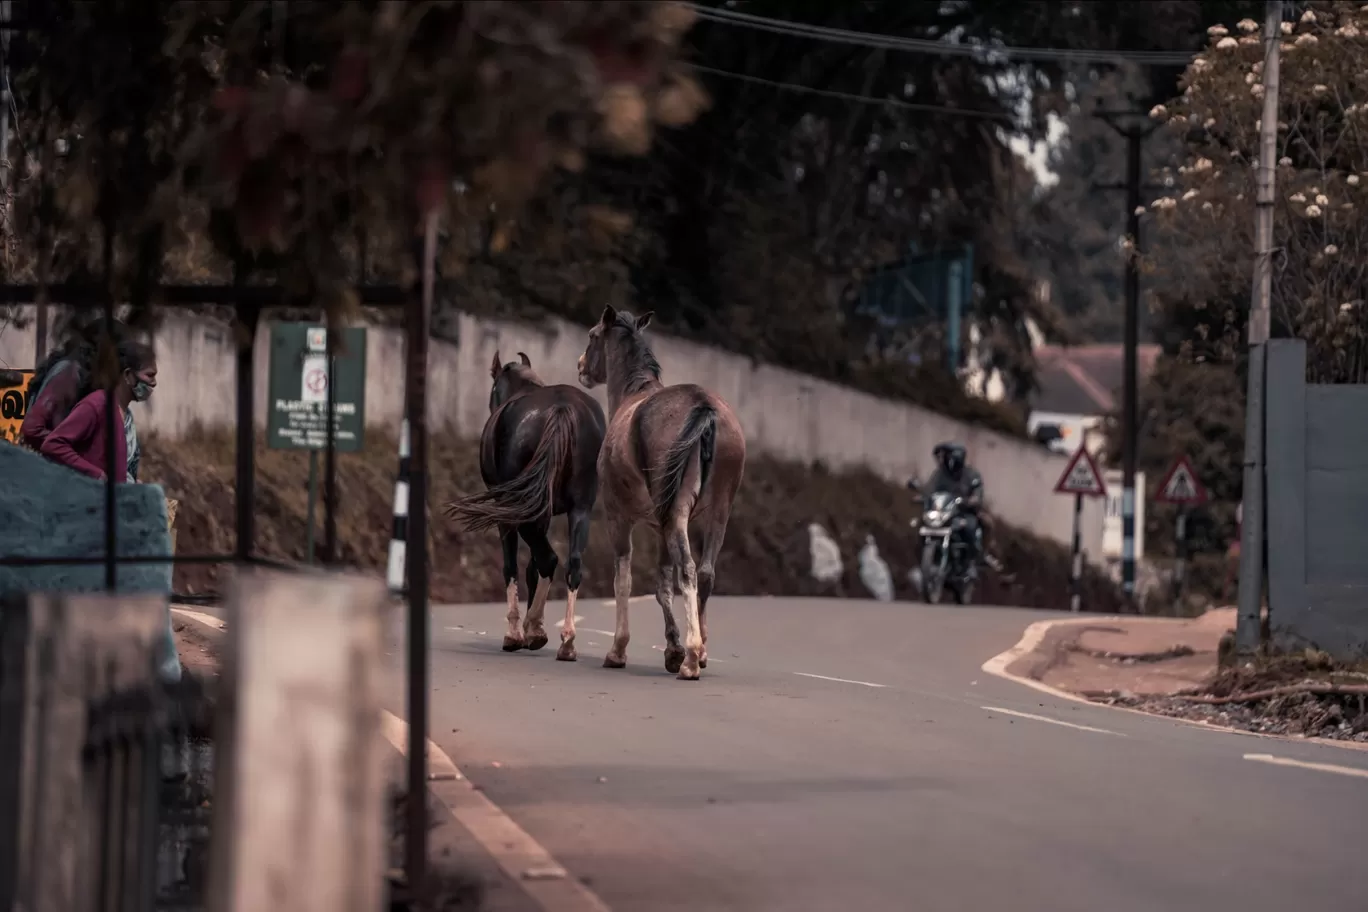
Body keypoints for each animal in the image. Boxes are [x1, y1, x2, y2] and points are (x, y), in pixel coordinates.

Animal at [445, 352, 607, 659]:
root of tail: (561, 408)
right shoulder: (543, 511)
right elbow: (533, 567)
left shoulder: (507, 511)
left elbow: (512, 566)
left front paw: (515, 633)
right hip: (581, 507)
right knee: (571, 563)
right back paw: (566, 641)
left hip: (516, 505)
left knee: (548, 558)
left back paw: (533, 629)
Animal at [577, 304, 749, 678]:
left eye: (593, 335)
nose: (581, 366)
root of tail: (704, 407)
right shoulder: (660, 525)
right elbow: (662, 585)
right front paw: (673, 649)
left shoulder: (618, 514)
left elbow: (624, 579)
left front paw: (619, 650)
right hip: (718, 508)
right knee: (705, 572)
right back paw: (699, 652)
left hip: (676, 511)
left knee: (688, 568)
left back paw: (692, 657)